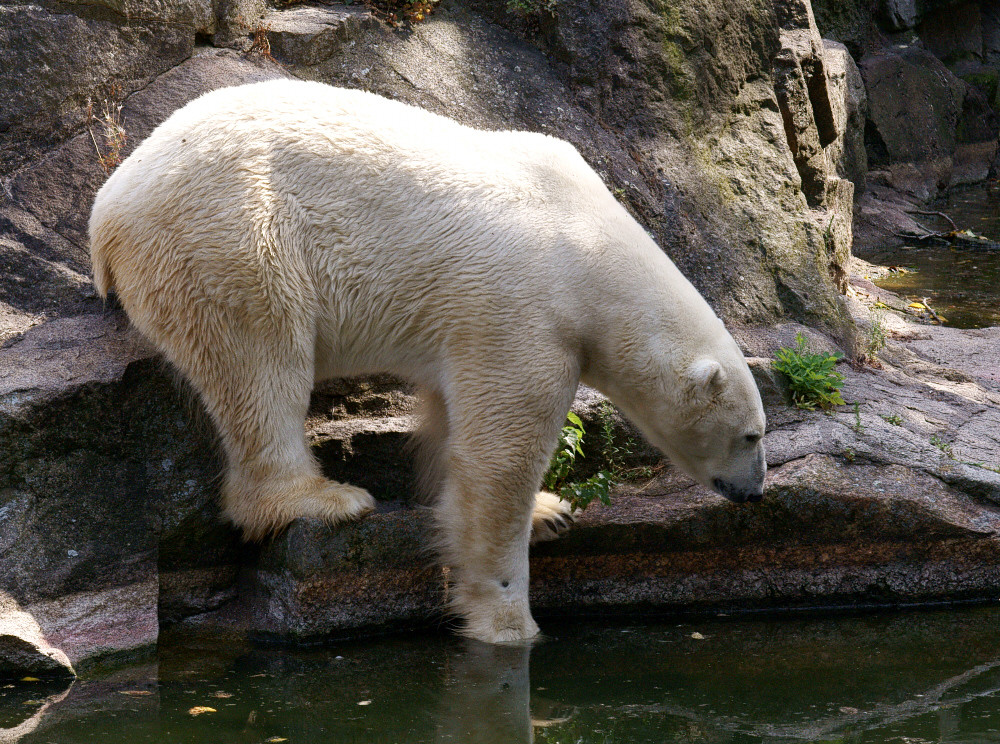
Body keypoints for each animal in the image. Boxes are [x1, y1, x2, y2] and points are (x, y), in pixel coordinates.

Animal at [92, 78, 764, 644]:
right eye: (753, 434)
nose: (754, 492)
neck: (591, 246)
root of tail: (108, 210)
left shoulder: (474, 322)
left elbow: (453, 420)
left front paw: (549, 511)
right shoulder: (523, 309)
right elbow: (499, 460)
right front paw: (509, 621)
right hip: (231, 239)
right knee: (261, 363)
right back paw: (322, 498)